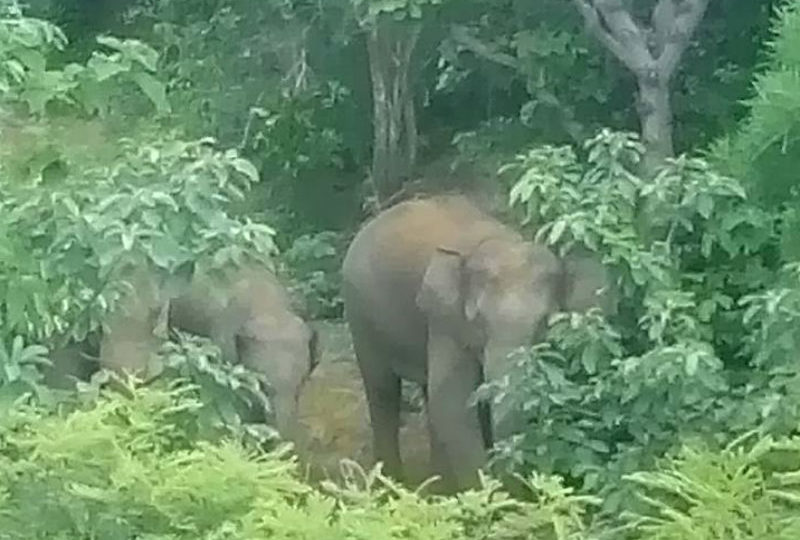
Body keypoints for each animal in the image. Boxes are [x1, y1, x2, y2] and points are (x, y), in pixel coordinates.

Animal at [341, 195, 615, 492]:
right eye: (480, 321)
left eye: (544, 322)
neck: (503, 242)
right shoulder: (446, 321)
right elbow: (453, 403)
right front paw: (487, 495)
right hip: (360, 314)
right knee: (383, 391)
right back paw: (388, 485)